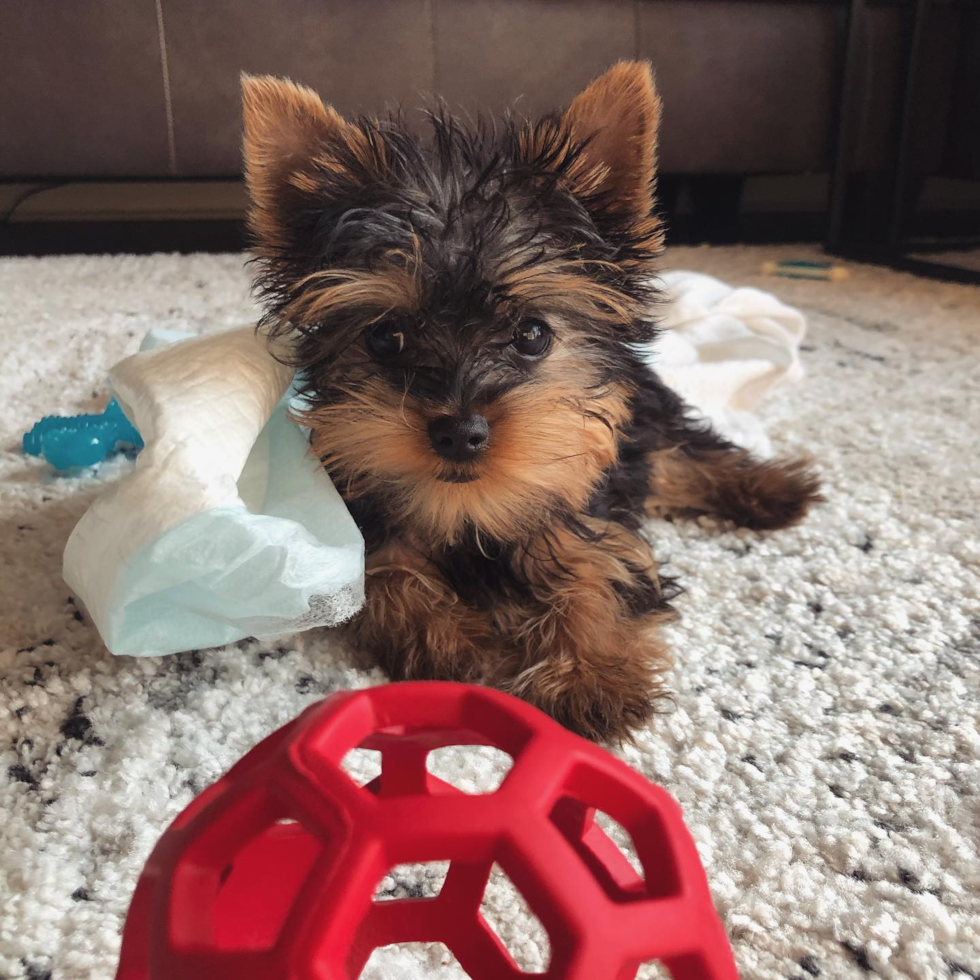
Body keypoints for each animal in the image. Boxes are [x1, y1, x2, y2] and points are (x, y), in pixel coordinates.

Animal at [241, 65, 824, 744]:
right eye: (386, 338)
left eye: (532, 334)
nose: (459, 431)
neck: (471, 509)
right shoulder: (368, 520)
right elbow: (389, 578)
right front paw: (458, 648)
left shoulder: (581, 501)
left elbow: (597, 566)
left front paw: (592, 679)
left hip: (639, 417)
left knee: (685, 454)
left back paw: (775, 490)